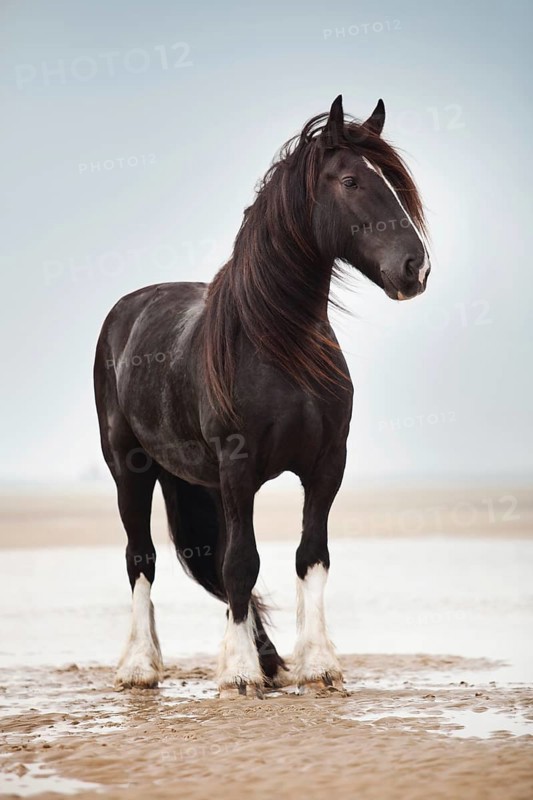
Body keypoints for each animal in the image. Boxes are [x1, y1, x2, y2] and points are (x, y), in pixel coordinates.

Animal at [94, 94, 430, 697]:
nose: (416, 267)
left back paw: (263, 659)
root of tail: (125, 310)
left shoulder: (326, 464)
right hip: (129, 468)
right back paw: (140, 666)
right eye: (350, 180)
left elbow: (308, 556)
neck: (278, 346)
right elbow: (240, 564)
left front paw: (317, 665)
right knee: (142, 558)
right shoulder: (238, 465)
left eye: (391, 181)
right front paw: (240, 674)